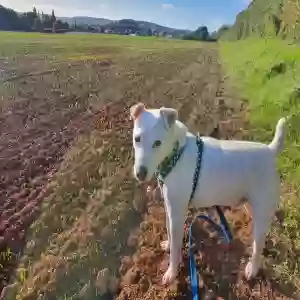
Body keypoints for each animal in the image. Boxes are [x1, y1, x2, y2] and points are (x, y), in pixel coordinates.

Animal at [130, 102, 288, 286]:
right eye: (137, 139)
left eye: (157, 143)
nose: (140, 173)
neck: (177, 153)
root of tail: (270, 151)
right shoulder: (170, 209)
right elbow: (169, 232)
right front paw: (167, 245)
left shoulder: (177, 214)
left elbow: (176, 250)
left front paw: (172, 272)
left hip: (262, 209)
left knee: (258, 246)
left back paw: (252, 268)